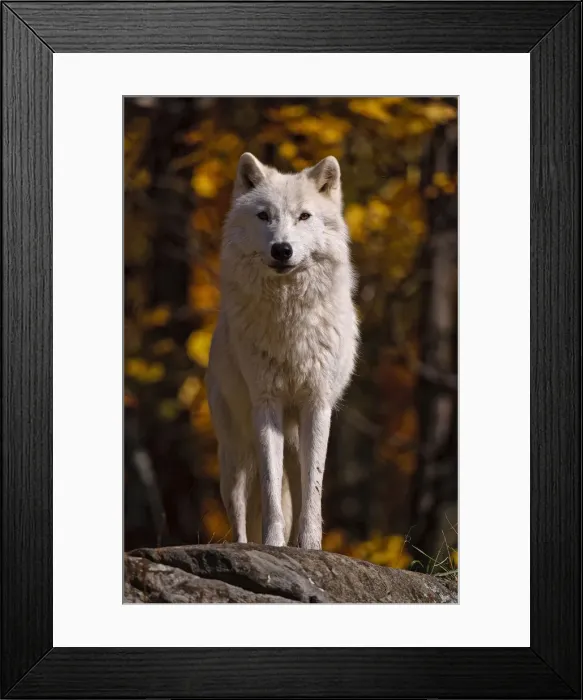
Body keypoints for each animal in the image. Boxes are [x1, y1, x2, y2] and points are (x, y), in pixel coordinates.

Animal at [205, 152, 359, 549]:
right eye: (264, 216)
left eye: (304, 216)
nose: (282, 249)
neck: (289, 318)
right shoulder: (266, 404)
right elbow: (271, 487)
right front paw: (273, 545)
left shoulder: (317, 405)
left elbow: (313, 486)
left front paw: (310, 546)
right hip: (235, 454)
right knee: (241, 512)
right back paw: (246, 547)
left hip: (290, 439)